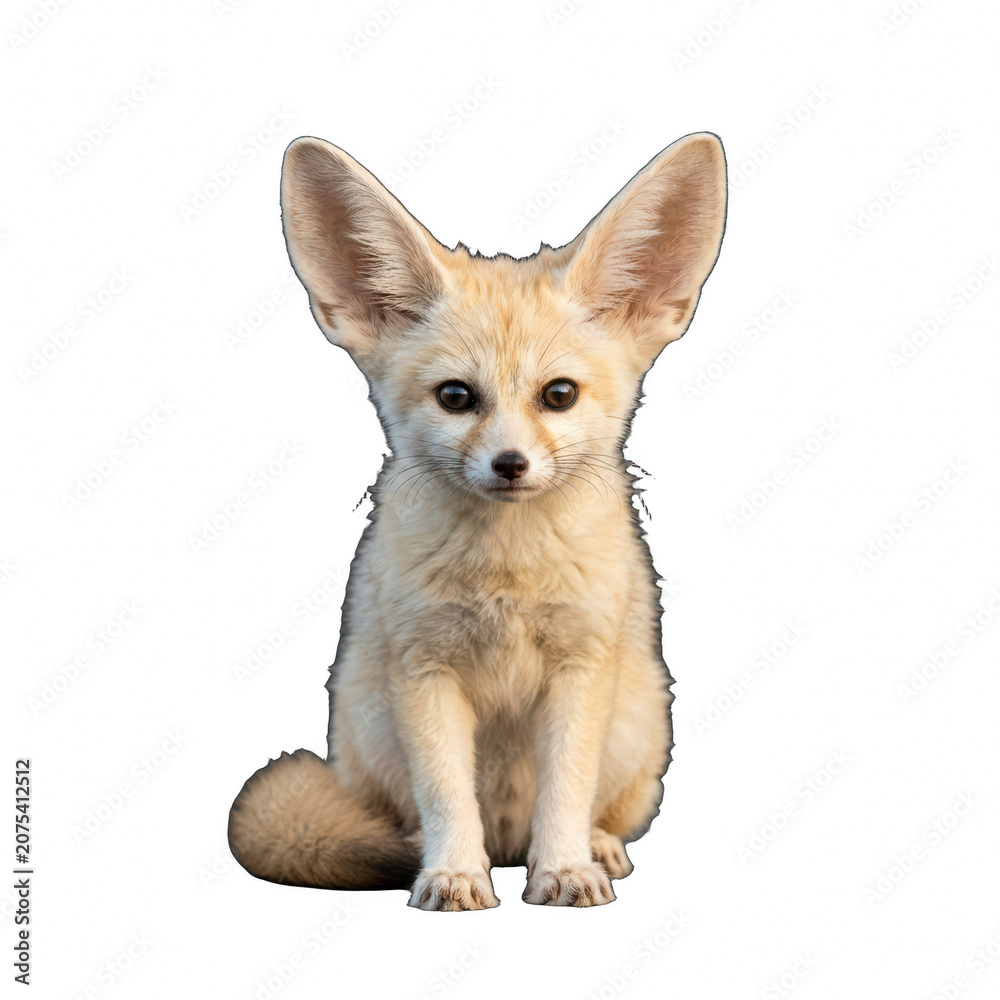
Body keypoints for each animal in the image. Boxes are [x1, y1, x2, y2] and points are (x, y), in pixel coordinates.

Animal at [228, 131, 727, 909]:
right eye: (457, 397)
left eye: (559, 394)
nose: (510, 465)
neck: (507, 581)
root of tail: (510, 843)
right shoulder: (424, 670)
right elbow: (445, 794)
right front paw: (455, 875)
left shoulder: (579, 668)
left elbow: (566, 790)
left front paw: (565, 870)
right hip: (369, 731)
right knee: (408, 819)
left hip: (641, 727)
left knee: (596, 809)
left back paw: (596, 849)